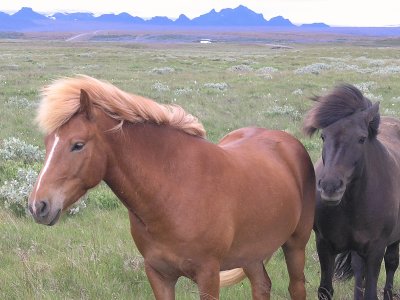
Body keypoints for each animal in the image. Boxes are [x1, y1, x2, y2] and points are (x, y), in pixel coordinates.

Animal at [28, 75, 316, 300]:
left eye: (77, 145)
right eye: (47, 142)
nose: (38, 206)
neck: (172, 191)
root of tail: (288, 142)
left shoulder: (208, 274)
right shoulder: (159, 274)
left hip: (295, 245)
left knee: (296, 288)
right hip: (252, 253)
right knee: (262, 286)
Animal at [304, 85, 400, 300]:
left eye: (361, 138)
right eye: (323, 136)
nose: (330, 186)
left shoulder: (375, 250)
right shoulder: (324, 245)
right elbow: (325, 290)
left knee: (391, 263)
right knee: (358, 269)